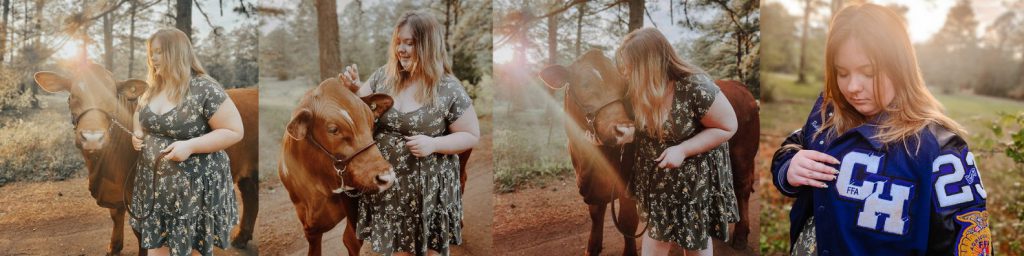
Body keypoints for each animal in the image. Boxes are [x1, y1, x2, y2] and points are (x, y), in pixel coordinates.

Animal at [34, 61, 262, 253]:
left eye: (112, 98)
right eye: (72, 96)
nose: (92, 138)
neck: (104, 170)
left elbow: (141, 236)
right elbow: (115, 216)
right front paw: (114, 247)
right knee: (250, 196)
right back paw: (241, 238)